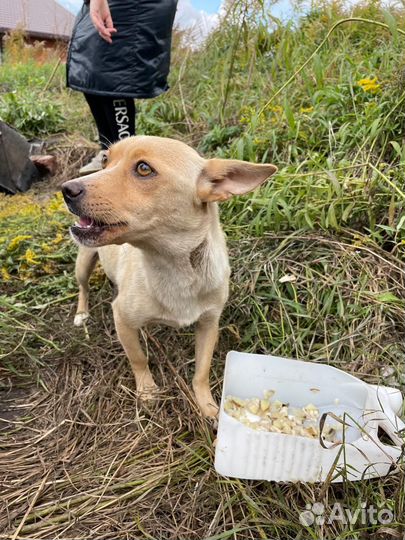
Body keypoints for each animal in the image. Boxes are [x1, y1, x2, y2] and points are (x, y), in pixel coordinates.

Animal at [61, 137, 276, 416]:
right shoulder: (122, 319)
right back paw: (82, 313)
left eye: (143, 169)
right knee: (83, 287)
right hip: (84, 261)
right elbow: (139, 358)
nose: (66, 189)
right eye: (107, 160)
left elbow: (202, 371)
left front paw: (208, 406)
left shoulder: (209, 324)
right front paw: (147, 391)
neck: (173, 266)